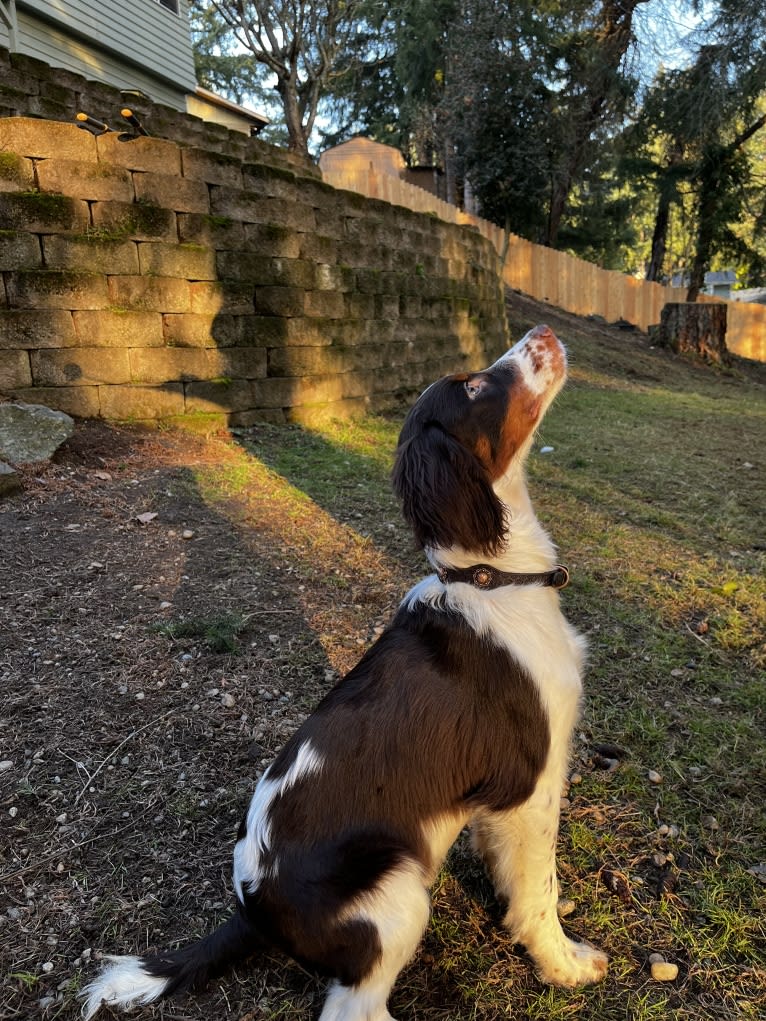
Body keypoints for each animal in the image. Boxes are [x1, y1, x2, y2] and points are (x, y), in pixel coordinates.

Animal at [81, 324, 608, 1021]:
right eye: (472, 387)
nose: (543, 331)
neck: (494, 579)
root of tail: (252, 912)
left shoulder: (498, 804)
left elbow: (514, 875)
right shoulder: (530, 783)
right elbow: (539, 890)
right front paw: (564, 964)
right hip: (398, 889)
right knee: (354, 1007)